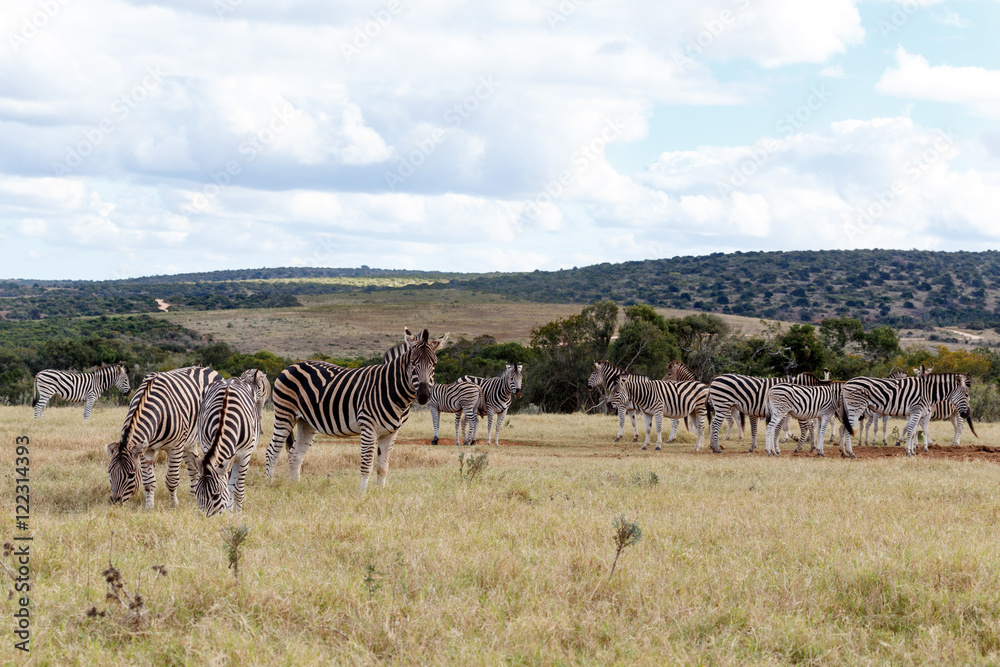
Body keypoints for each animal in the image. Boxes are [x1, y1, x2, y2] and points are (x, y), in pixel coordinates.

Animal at [106, 366, 221, 509]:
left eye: (131, 474)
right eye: (109, 472)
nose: (115, 502)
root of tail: (207, 368)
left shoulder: (175, 447)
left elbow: (172, 479)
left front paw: (173, 505)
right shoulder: (146, 449)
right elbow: (148, 482)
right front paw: (149, 507)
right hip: (188, 443)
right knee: (194, 469)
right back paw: (193, 498)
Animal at [194, 375, 263, 517]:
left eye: (216, 496)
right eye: (197, 495)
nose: (202, 519)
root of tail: (230, 379)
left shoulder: (245, 455)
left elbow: (239, 490)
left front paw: (239, 516)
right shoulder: (207, 448)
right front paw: (228, 512)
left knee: (233, 486)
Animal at [264, 329, 447, 489]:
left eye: (434, 364)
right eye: (413, 364)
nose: (423, 395)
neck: (390, 389)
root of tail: (292, 365)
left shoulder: (391, 432)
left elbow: (383, 467)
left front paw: (380, 494)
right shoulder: (368, 428)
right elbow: (367, 465)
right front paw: (362, 494)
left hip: (306, 421)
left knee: (295, 454)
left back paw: (295, 486)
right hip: (284, 414)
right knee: (272, 451)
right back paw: (268, 485)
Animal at [841, 372, 977, 457]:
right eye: (966, 395)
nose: (967, 414)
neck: (928, 392)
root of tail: (846, 383)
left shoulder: (915, 413)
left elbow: (912, 432)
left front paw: (911, 451)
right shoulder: (916, 411)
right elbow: (911, 430)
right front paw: (908, 451)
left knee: (843, 427)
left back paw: (843, 453)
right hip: (856, 407)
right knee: (847, 429)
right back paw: (851, 453)